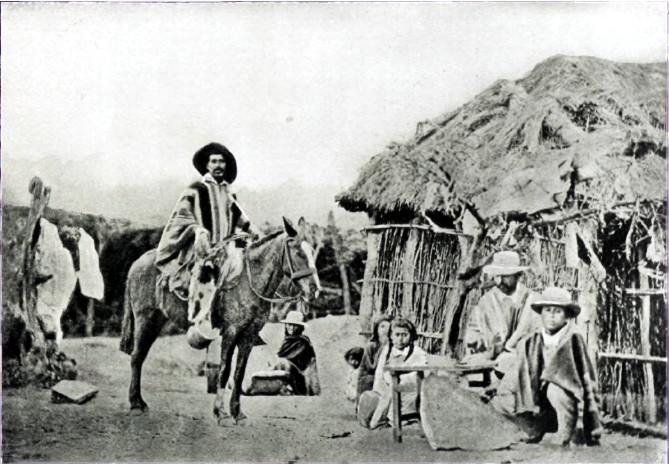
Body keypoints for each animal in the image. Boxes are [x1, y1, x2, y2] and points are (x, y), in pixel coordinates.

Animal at [120, 218, 320, 424]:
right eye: (298, 252)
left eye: (312, 251)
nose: (315, 289)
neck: (248, 282)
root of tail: (137, 263)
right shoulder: (231, 333)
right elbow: (224, 371)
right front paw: (221, 413)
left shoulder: (249, 336)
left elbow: (239, 373)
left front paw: (237, 413)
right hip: (144, 319)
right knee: (136, 357)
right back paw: (136, 404)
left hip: (156, 321)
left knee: (140, 356)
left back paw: (140, 402)